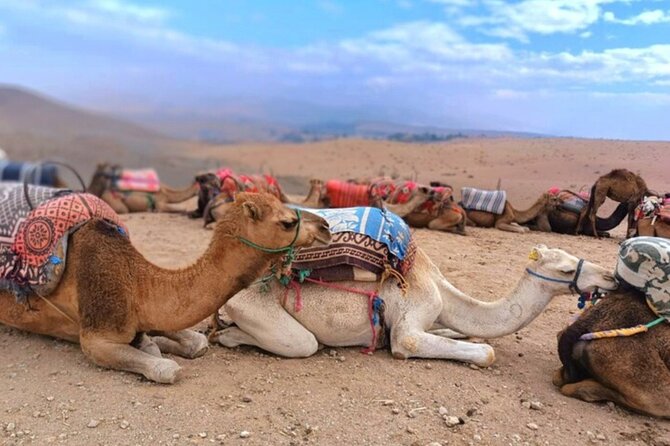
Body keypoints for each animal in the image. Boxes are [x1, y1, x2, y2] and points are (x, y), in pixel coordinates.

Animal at [0, 192, 331, 383]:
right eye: (287, 222)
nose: (326, 227)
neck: (135, 279)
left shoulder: (148, 313)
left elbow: (196, 342)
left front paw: (158, 343)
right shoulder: (95, 336)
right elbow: (166, 368)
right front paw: (155, 351)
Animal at [212, 244, 617, 365]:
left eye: (574, 256)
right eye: (566, 268)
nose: (610, 277)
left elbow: (458, 332)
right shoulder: (408, 326)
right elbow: (485, 351)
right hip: (256, 307)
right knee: (301, 343)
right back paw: (229, 336)